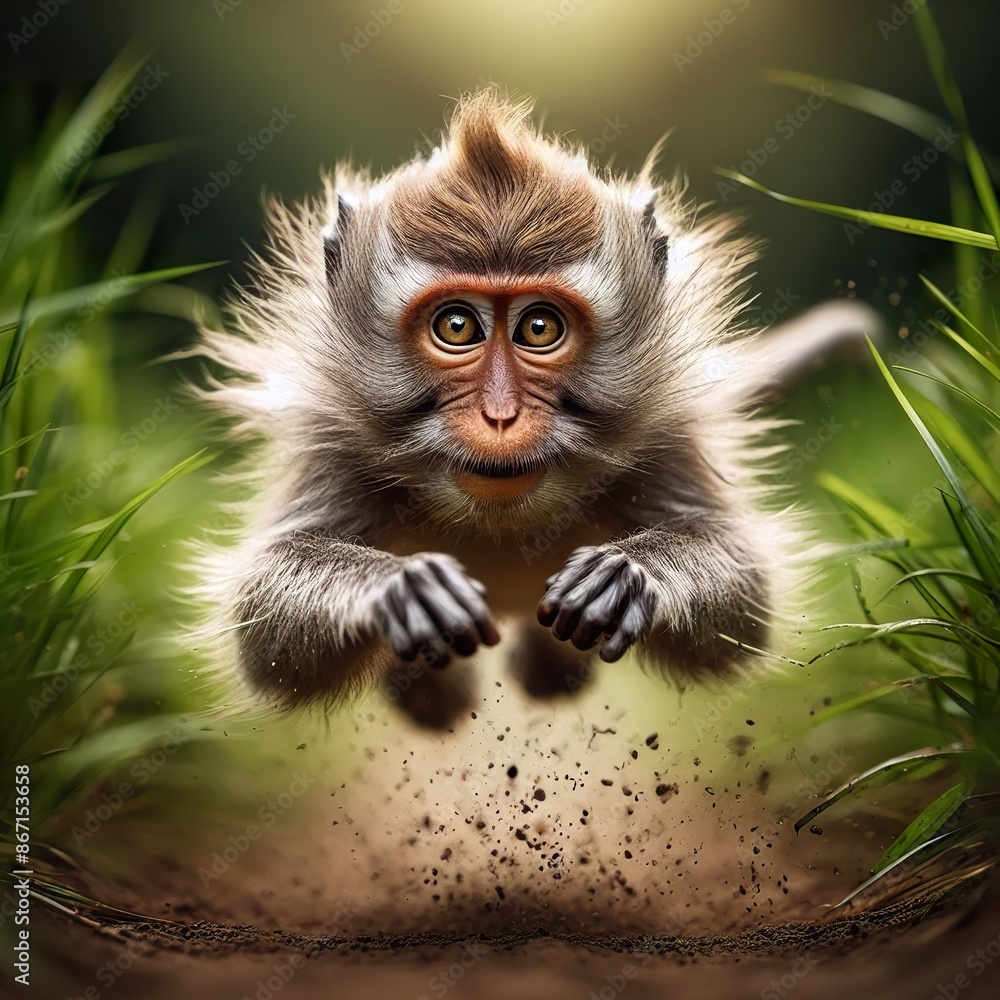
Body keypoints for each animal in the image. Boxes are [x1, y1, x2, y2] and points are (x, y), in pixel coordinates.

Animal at [192, 91, 881, 722]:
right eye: (457, 326)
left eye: (540, 328)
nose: (501, 417)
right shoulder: (334, 436)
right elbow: (261, 628)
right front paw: (402, 589)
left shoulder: (663, 432)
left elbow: (744, 612)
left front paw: (632, 577)